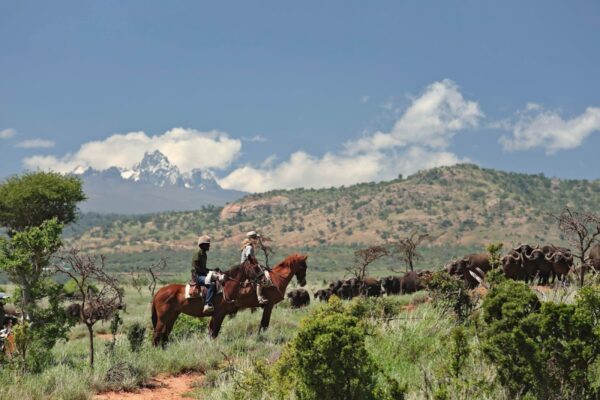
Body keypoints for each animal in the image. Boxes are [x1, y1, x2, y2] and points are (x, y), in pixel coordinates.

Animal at [150, 253, 310, 344]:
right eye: (304, 266)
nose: (303, 282)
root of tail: (158, 293)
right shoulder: (268, 306)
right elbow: (264, 325)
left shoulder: (219, 315)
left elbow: (213, 332)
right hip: (163, 317)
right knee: (157, 334)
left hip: (173, 316)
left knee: (165, 335)